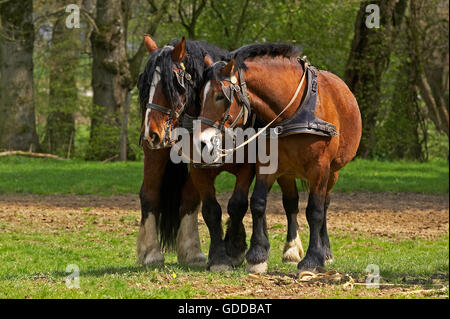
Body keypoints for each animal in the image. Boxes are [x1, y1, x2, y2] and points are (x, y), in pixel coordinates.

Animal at [139, 37, 304, 272]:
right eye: (145, 86)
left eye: (173, 85)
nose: (151, 133)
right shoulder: (198, 167)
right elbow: (211, 209)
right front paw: (221, 256)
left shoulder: (248, 166)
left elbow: (237, 204)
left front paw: (235, 248)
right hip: (157, 154)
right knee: (151, 194)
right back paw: (152, 252)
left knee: (289, 200)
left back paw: (290, 248)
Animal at [200, 42, 362, 272]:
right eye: (199, 96)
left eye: (219, 96)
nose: (202, 141)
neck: (294, 112)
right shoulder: (268, 163)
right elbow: (258, 202)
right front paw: (257, 256)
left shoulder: (320, 168)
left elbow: (315, 211)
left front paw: (313, 258)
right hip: (288, 172)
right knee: (291, 204)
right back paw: (291, 249)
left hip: (333, 172)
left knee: (325, 204)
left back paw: (326, 251)